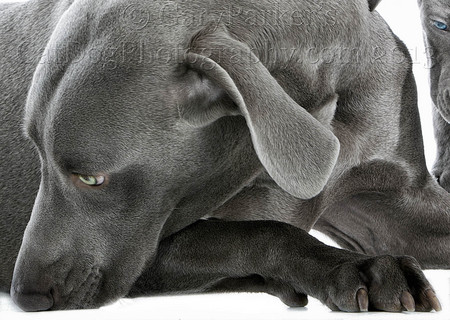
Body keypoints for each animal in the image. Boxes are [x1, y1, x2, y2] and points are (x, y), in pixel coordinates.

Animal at [0, 0, 450, 312]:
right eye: (38, 154)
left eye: (92, 178)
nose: (26, 295)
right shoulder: (150, 250)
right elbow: (257, 232)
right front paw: (363, 270)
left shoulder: (396, 205)